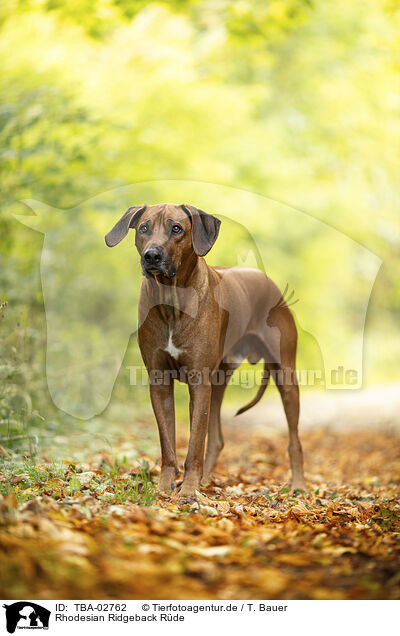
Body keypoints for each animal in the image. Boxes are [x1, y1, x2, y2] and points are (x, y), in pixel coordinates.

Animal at [104, 202, 304, 496]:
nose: (152, 256)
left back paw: (298, 486)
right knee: (217, 438)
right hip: (219, 380)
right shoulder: (159, 381)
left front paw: (187, 491)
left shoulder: (198, 382)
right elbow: (168, 445)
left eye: (177, 228)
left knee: (294, 441)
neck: (171, 300)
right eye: (143, 228)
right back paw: (206, 481)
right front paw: (163, 488)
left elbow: (194, 444)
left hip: (285, 376)